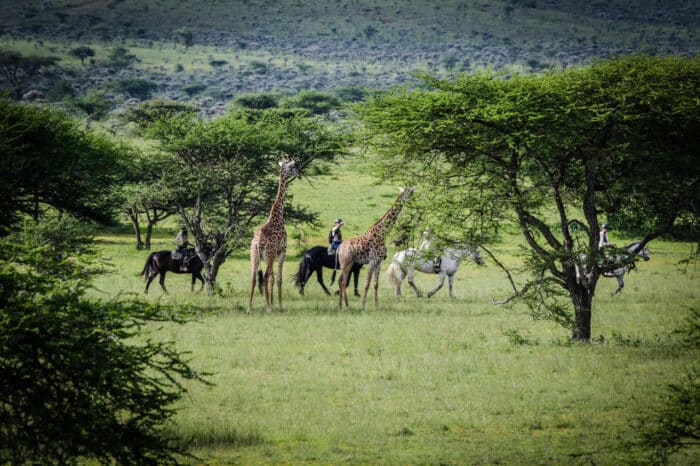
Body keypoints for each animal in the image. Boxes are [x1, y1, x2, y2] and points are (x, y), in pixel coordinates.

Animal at [247, 157, 300, 314]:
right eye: (293, 167)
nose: (299, 174)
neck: (278, 214)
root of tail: (258, 243)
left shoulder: (273, 254)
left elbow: (272, 278)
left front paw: (272, 303)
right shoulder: (282, 250)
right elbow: (278, 278)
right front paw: (279, 306)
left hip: (255, 256)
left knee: (254, 278)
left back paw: (249, 308)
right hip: (269, 256)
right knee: (264, 276)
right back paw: (268, 309)